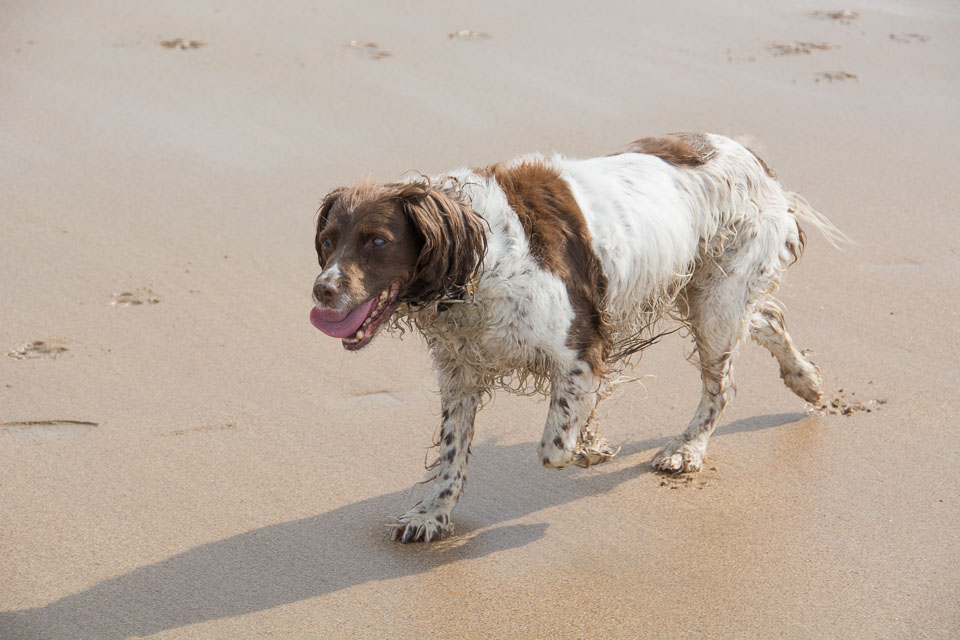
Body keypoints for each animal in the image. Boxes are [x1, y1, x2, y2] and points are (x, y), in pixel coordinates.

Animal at [308, 132, 840, 544]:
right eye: (328, 241)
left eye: (378, 241)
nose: (322, 290)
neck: (482, 254)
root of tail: (748, 154)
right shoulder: (460, 370)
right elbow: (452, 453)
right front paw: (432, 515)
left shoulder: (580, 348)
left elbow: (553, 446)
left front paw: (590, 447)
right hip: (702, 290)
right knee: (767, 318)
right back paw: (806, 380)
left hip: (716, 300)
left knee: (722, 383)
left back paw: (687, 448)